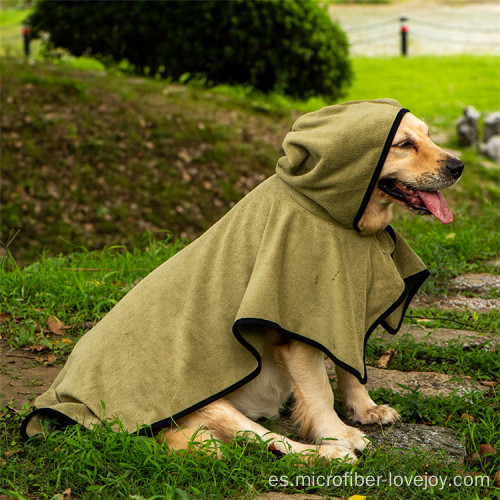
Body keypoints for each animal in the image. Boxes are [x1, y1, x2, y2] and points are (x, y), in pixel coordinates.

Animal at [157, 112, 464, 460]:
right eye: (403, 144)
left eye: (429, 135)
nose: (459, 166)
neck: (335, 218)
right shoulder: (300, 334)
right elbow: (320, 392)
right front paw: (340, 434)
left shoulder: (348, 309)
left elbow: (351, 369)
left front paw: (365, 409)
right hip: (212, 406)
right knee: (272, 441)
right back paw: (329, 455)